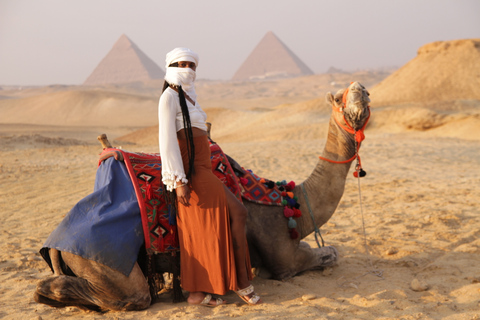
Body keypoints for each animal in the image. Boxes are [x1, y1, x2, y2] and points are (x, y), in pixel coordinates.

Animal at [33, 81, 372, 312]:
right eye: (340, 99)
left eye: (363, 93)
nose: (361, 89)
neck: (291, 203)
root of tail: (55, 243)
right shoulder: (284, 258)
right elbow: (329, 253)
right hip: (103, 264)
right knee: (127, 295)